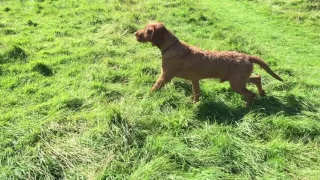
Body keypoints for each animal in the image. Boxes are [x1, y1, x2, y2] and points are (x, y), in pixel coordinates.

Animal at [135, 22, 282, 107]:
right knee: (257, 78)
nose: (135, 33)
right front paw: (194, 104)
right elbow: (196, 93)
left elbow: (154, 88)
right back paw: (262, 93)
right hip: (240, 80)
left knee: (250, 94)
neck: (172, 47)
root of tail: (247, 56)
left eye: (148, 30)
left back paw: (246, 108)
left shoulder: (165, 76)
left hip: (236, 84)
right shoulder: (194, 80)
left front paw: (145, 97)